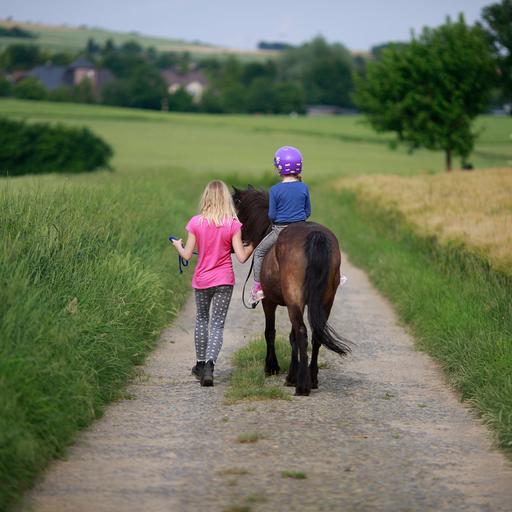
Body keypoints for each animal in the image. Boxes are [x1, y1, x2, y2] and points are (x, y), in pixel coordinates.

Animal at [233, 185, 350, 396]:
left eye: (237, 214)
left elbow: (270, 332)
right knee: (315, 333)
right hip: (325, 299)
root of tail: (315, 235)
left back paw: (302, 386)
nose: (239, 241)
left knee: (302, 332)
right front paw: (291, 375)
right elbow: (291, 336)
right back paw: (312, 378)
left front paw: (272, 367)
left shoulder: (269, 302)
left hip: (294, 298)